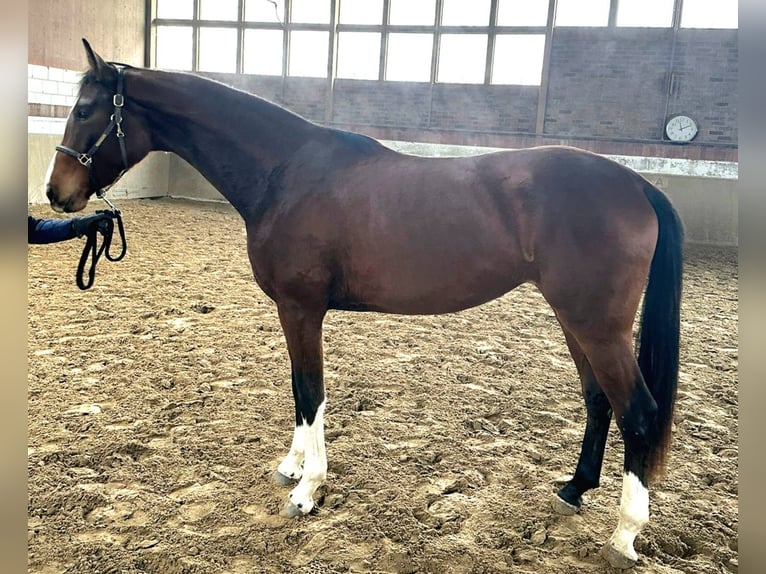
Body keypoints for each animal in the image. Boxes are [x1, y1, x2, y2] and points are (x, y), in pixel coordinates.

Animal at [45, 39, 683, 569]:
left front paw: (307, 490)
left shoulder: (301, 307)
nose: (57, 194)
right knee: (599, 400)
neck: (286, 171)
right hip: (577, 320)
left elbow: (310, 391)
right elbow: (300, 390)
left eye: (86, 111)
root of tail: (637, 184)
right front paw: (293, 469)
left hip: (597, 325)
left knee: (638, 413)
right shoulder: (296, 310)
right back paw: (573, 490)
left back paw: (625, 534)